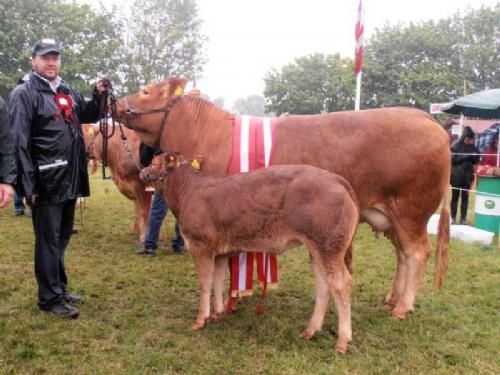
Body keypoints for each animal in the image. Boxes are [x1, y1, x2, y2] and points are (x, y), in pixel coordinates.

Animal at [141, 153, 360, 356]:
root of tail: (334, 178)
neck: (187, 191)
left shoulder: (199, 246)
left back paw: (342, 341)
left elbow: (205, 283)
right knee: (323, 286)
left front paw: (200, 320)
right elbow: (218, 281)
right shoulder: (220, 253)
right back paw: (311, 330)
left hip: (328, 246)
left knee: (341, 285)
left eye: (153, 162)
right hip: (318, 249)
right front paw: (217, 313)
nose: (142, 170)